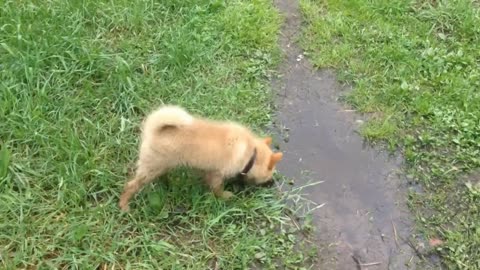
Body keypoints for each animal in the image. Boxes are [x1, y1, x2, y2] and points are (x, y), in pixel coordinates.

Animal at [119, 105, 282, 211]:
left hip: (162, 165)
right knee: (131, 186)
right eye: (270, 173)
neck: (251, 153)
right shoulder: (217, 174)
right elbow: (217, 189)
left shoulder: (208, 171)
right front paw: (224, 196)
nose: (272, 183)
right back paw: (124, 205)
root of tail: (155, 130)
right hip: (151, 168)